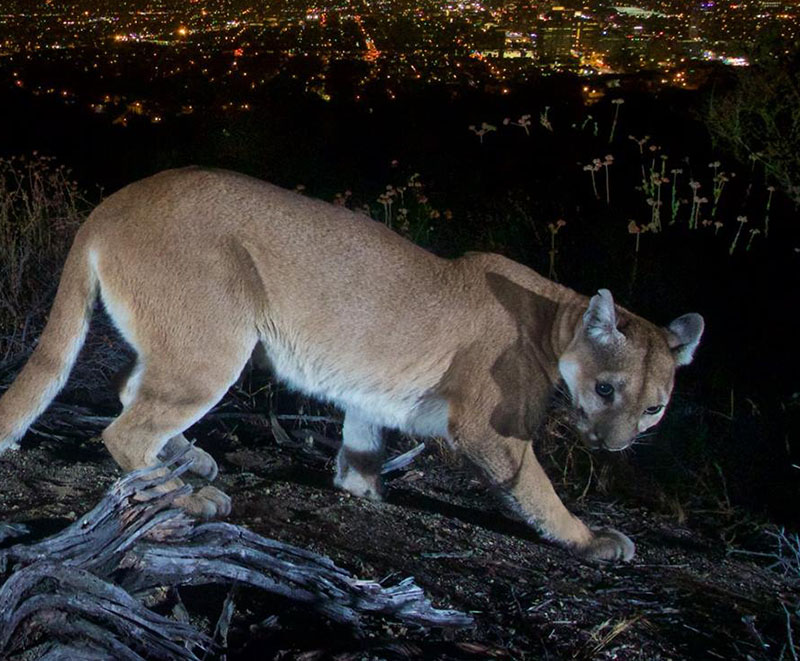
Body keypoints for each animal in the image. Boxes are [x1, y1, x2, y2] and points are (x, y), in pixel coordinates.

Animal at [0, 168, 700, 560]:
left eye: (654, 408)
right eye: (606, 390)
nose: (614, 445)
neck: (555, 317)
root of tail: (108, 206)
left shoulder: (371, 394)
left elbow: (363, 445)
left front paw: (361, 489)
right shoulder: (489, 429)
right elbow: (537, 490)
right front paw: (590, 541)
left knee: (128, 389)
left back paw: (191, 458)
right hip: (216, 342)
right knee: (125, 428)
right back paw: (190, 497)